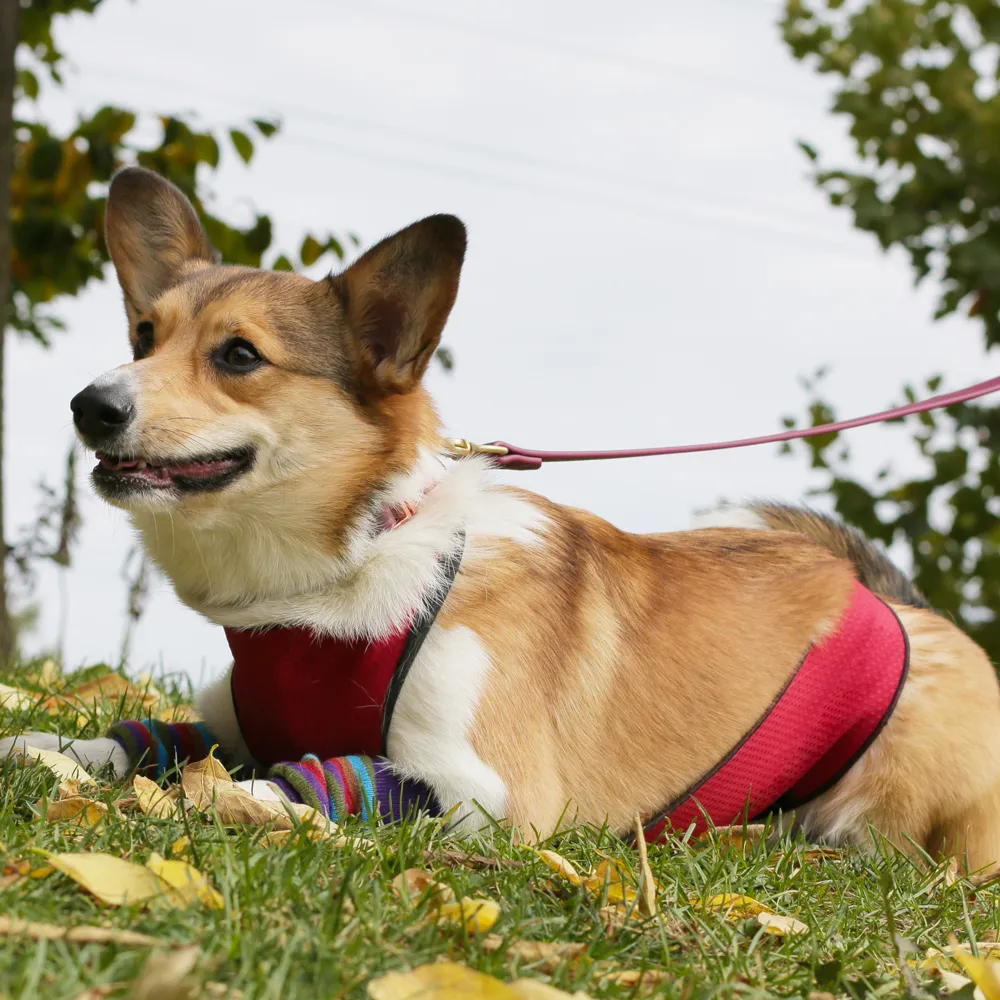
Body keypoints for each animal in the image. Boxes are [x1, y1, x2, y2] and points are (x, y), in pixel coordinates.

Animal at [7, 168, 1000, 872]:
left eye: (240, 356)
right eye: (144, 335)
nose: (88, 406)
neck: (355, 560)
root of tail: (904, 607)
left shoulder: (484, 791)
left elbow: (309, 778)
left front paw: (231, 799)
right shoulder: (231, 723)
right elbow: (139, 742)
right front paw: (46, 748)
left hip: (890, 801)